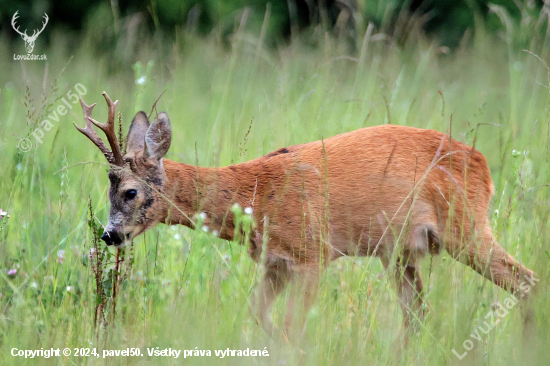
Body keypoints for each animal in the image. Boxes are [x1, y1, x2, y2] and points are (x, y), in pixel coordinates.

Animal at [74, 92, 540, 340]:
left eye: (131, 191)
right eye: (108, 189)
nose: (109, 235)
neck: (255, 199)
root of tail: (482, 163)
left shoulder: (312, 254)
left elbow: (292, 327)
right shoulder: (274, 262)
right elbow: (259, 318)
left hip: (467, 226)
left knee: (526, 280)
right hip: (400, 250)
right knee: (418, 313)